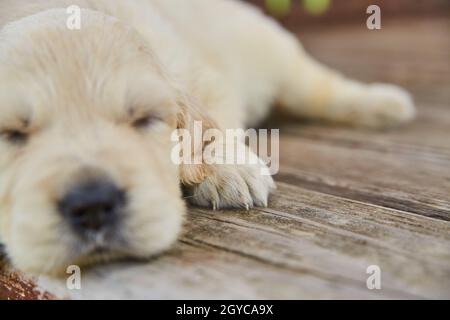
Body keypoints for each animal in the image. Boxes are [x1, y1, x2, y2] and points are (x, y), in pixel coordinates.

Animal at [0, 0, 414, 276]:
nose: (92, 206)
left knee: (319, 86)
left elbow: (212, 123)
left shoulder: (199, 70)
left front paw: (228, 169)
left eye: (144, 120)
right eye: (12, 134)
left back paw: (384, 104)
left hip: (270, 50)